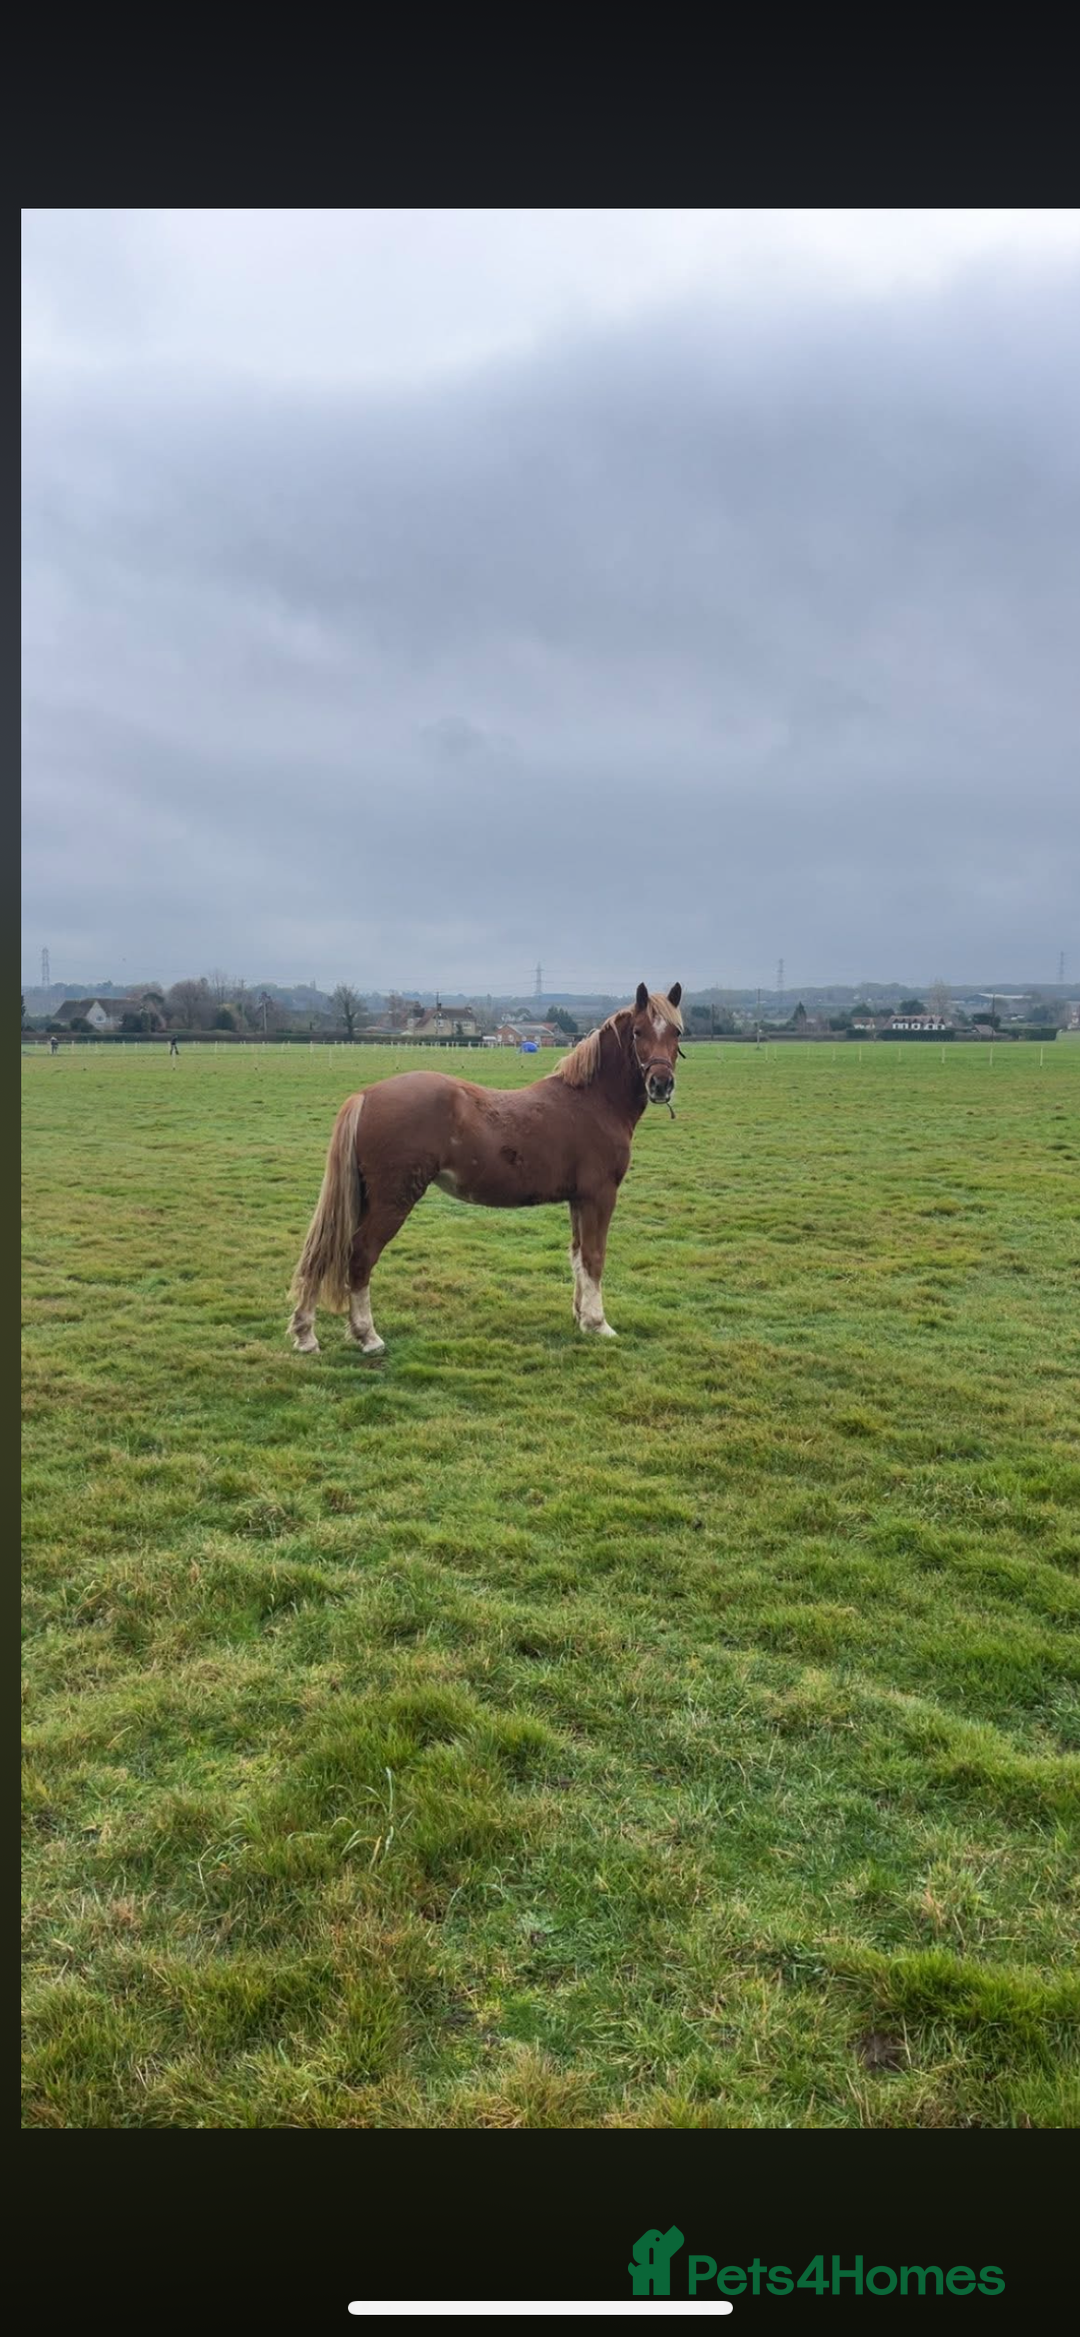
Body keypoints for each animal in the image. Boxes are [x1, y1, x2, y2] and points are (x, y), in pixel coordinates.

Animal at [287, 981, 683, 1354]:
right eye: (638, 1032)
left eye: (676, 1032)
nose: (661, 1084)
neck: (592, 1101)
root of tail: (365, 1095)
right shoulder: (600, 1196)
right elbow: (594, 1257)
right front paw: (599, 1324)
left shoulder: (578, 1200)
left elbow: (577, 1255)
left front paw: (581, 1316)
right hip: (391, 1201)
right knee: (360, 1255)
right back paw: (367, 1336)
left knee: (324, 1251)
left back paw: (306, 1334)